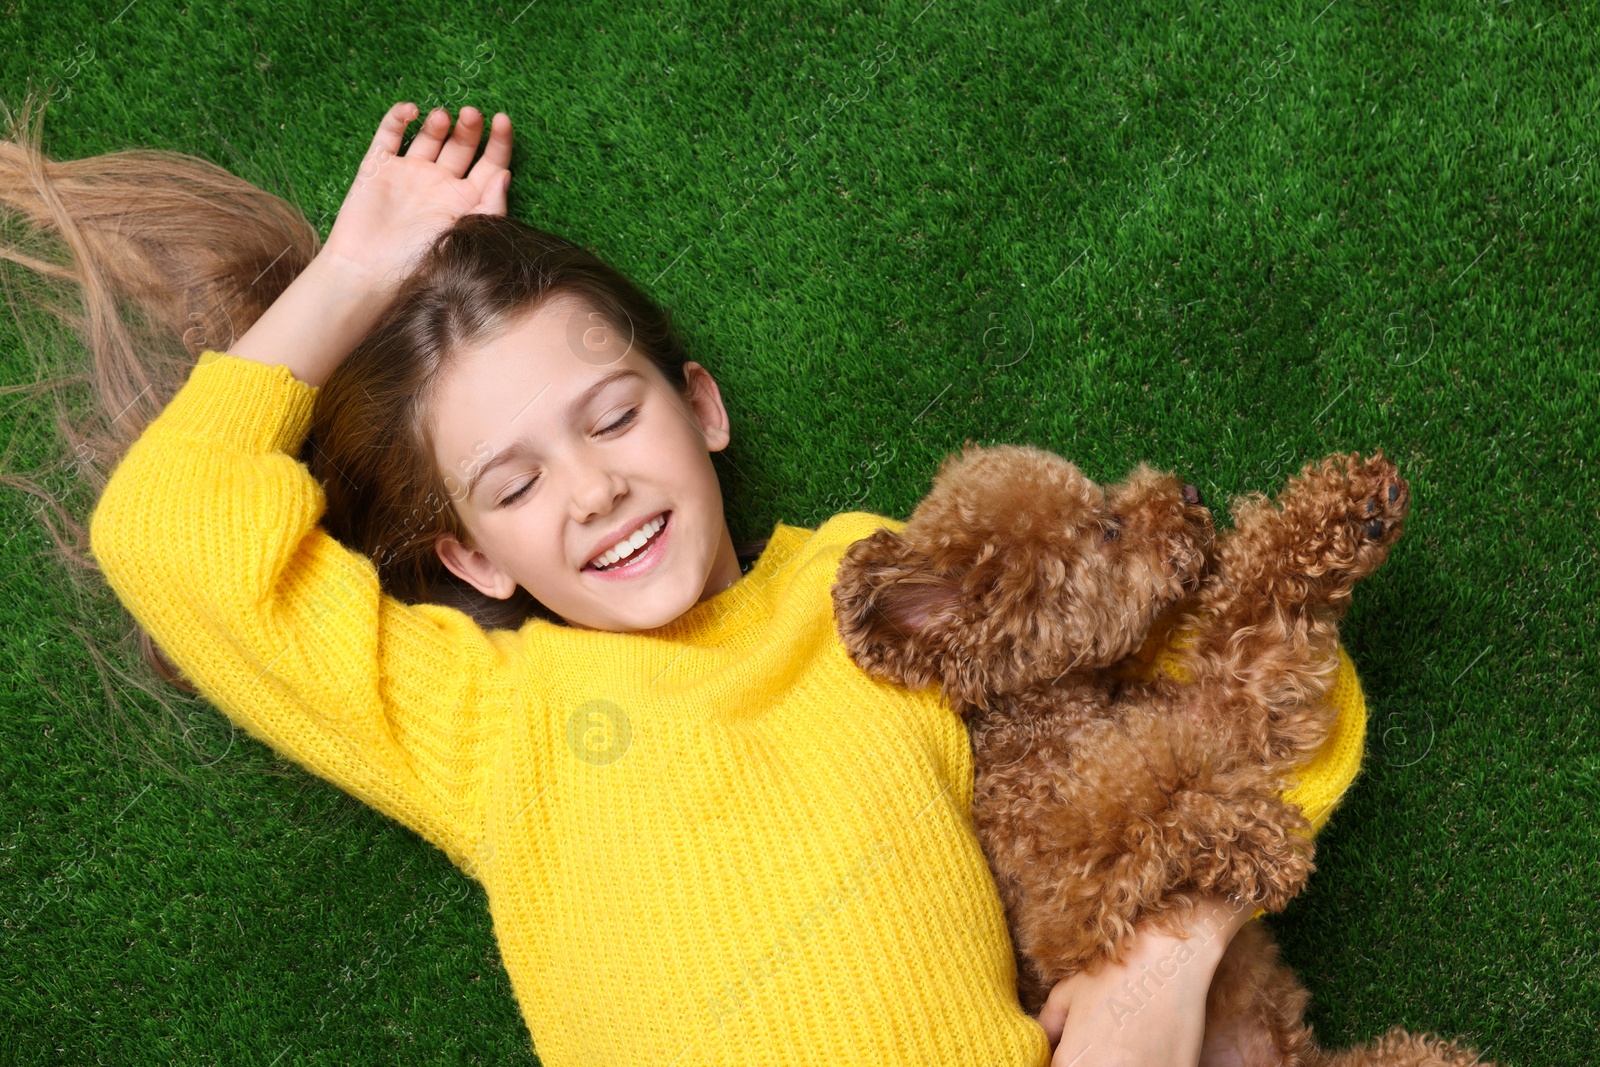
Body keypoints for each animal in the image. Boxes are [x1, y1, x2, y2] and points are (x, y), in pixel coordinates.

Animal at [832, 441, 1491, 1067]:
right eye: (1107, 529)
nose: (1190, 491)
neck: (1059, 719)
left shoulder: (1224, 701)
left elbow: (1258, 611)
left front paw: (1360, 506)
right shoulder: (1062, 910)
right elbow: (1149, 808)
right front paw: (1260, 844)